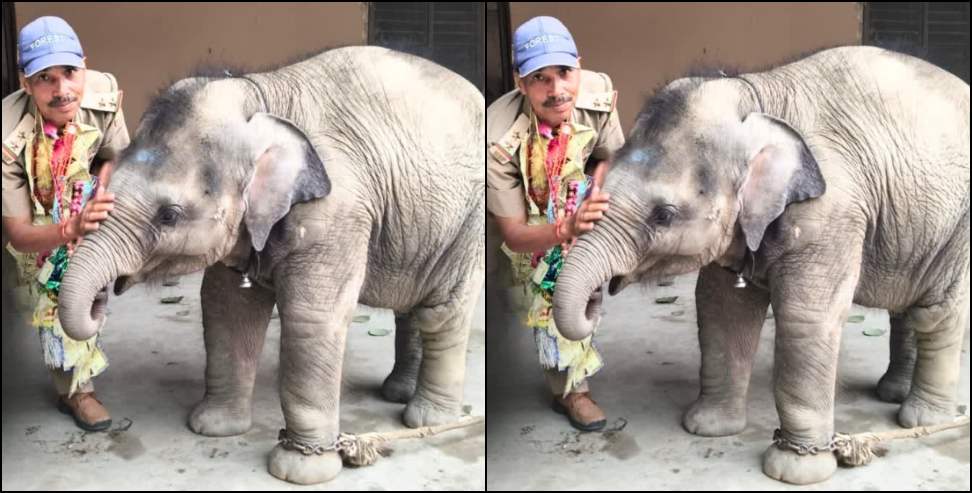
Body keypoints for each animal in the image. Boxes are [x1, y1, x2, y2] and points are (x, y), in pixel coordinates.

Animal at [56, 46, 484, 484]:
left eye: (169, 215)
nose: (101, 300)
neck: (261, 97)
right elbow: (227, 307)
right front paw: (213, 427)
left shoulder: (334, 214)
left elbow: (311, 318)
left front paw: (301, 469)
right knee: (413, 308)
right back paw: (396, 393)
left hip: (470, 222)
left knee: (443, 311)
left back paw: (426, 418)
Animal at [552, 46, 969, 484]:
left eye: (663, 215)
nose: (596, 300)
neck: (757, 97)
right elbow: (721, 308)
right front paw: (707, 427)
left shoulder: (828, 215)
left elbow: (806, 318)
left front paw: (795, 469)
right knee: (910, 308)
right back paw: (892, 393)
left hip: (958, 227)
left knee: (937, 312)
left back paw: (922, 418)